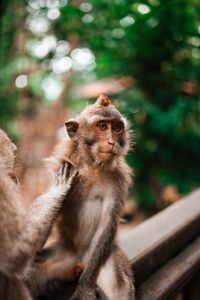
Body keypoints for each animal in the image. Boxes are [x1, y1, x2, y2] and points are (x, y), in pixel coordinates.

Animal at [34, 95, 134, 300]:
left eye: (117, 128)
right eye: (102, 126)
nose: (111, 142)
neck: (93, 166)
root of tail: (78, 255)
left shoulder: (119, 178)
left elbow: (106, 225)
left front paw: (85, 288)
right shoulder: (59, 166)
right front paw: (60, 188)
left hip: (95, 255)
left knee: (118, 285)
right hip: (63, 252)